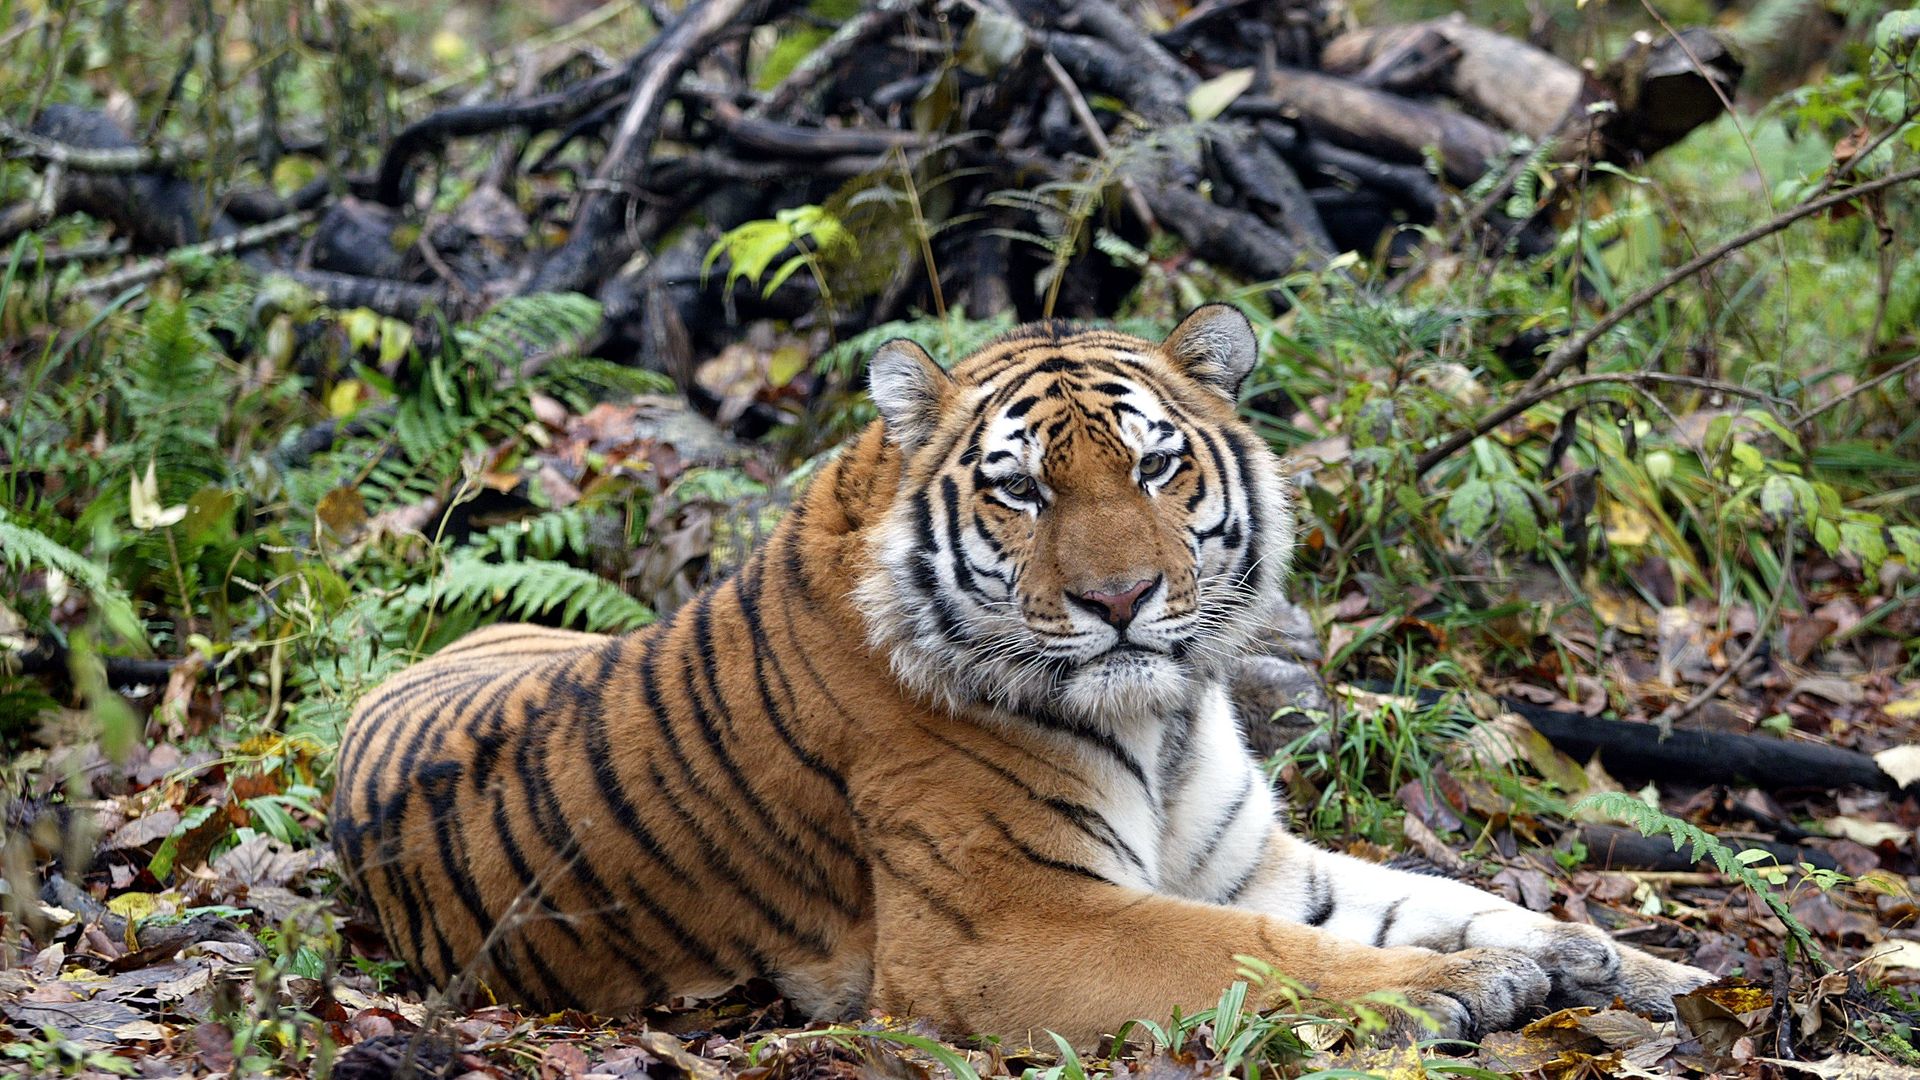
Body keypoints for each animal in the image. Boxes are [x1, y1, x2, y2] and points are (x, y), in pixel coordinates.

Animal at [331, 304, 1712, 1047]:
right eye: (1022, 489)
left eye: (1155, 468)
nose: (1120, 600)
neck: (1163, 719)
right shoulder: (1011, 925)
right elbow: (1257, 955)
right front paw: (1466, 988)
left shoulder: (1247, 861)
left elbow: (1447, 897)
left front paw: (1639, 969)